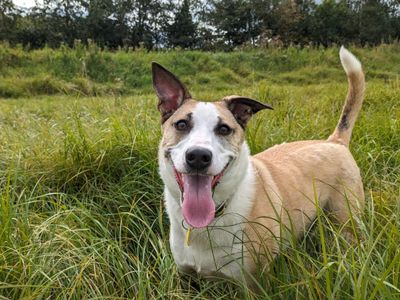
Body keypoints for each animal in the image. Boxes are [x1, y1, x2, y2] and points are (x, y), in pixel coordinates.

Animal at [153, 47, 366, 284]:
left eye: (224, 129)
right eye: (181, 124)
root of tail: (334, 142)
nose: (198, 156)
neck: (211, 217)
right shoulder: (186, 278)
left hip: (347, 219)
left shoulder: (256, 279)